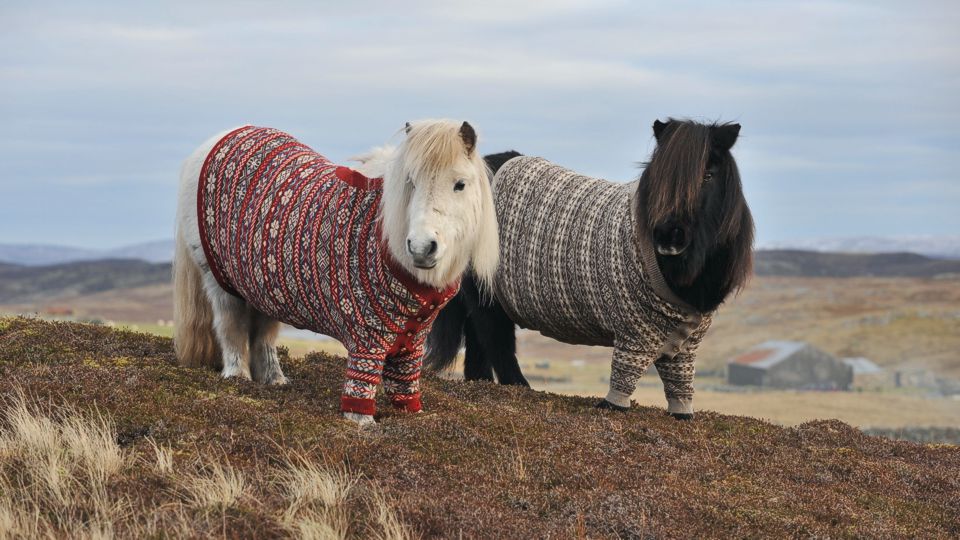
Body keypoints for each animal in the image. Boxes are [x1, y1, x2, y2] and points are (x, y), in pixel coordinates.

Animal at [173, 121, 498, 426]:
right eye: (410, 182)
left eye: (460, 184)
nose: (421, 247)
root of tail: (219, 139)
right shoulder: (367, 337)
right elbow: (361, 385)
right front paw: (362, 423)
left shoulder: (412, 340)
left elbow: (405, 384)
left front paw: (412, 416)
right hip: (220, 283)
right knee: (231, 327)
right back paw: (237, 377)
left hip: (264, 288)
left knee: (263, 335)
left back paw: (275, 381)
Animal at [426, 119, 752, 418]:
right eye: (658, 177)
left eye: (708, 175)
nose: (668, 237)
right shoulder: (633, 334)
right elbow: (624, 377)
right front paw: (613, 406)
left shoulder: (685, 345)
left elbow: (680, 383)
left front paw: (681, 413)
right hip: (488, 295)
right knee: (496, 340)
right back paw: (520, 387)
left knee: (479, 340)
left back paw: (481, 383)